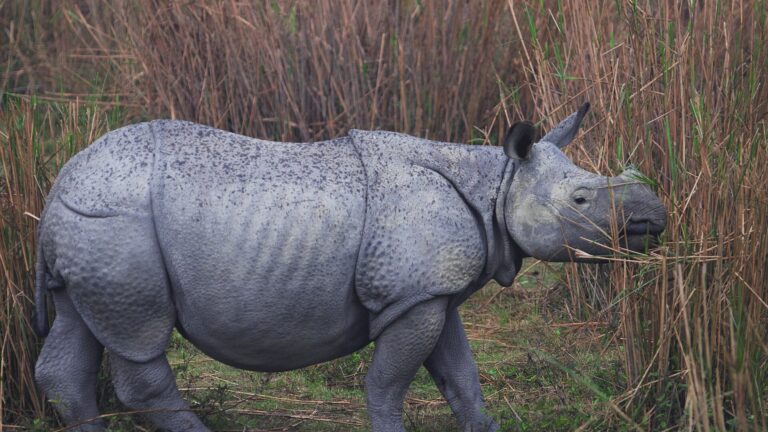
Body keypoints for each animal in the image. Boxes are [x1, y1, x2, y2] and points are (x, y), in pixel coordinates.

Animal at [33, 103, 665, 432]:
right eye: (581, 199)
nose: (655, 214)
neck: (498, 182)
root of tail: (61, 181)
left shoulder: (431, 292)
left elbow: (462, 377)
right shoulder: (411, 298)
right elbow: (388, 383)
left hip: (89, 224)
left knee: (76, 333)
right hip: (116, 221)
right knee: (140, 341)